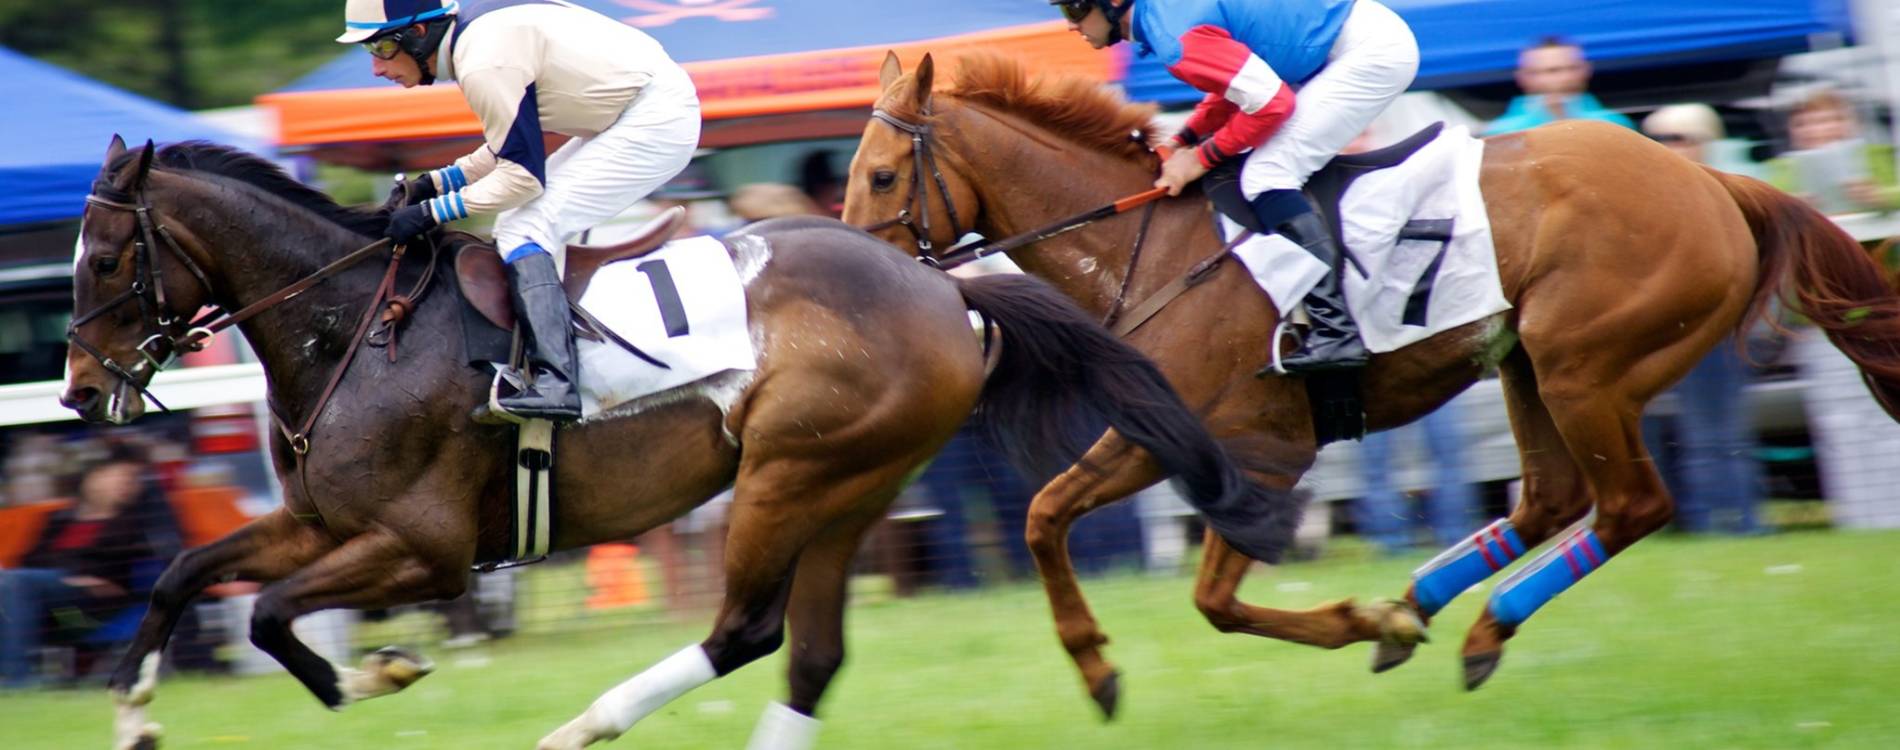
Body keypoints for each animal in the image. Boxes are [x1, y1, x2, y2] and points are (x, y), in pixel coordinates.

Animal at [63, 136, 1298, 750]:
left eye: (108, 258)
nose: (77, 391)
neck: (355, 326)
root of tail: (942, 288)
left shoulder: (426, 549)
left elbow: (273, 618)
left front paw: (382, 668)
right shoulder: (320, 523)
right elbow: (185, 574)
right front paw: (132, 713)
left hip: (791, 473)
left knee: (746, 631)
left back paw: (584, 725)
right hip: (851, 488)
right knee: (809, 655)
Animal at [842, 52, 1900, 712]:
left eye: (885, 175)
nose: (853, 274)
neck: (1146, 244)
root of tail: (1715, 181)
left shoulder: (1258, 446)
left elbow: (1213, 599)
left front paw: (1353, 620)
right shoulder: (1160, 429)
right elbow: (1044, 515)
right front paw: (1097, 667)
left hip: (1585, 365)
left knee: (1630, 505)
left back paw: (1477, 630)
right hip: (1527, 365)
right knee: (1554, 498)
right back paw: (1424, 607)